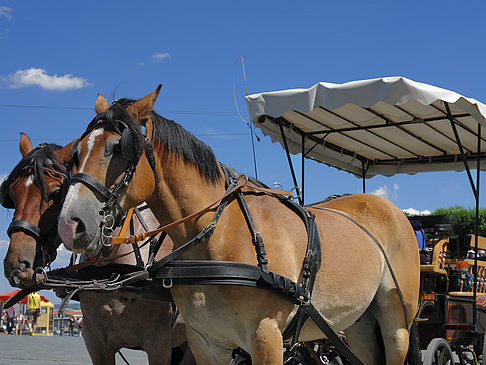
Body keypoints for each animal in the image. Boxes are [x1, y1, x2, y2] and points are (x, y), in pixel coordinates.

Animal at [58, 86, 422, 362]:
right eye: (74, 153)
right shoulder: (205, 342)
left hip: (397, 323)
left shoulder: (266, 338)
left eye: (118, 148)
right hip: (357, 323)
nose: (70, 225)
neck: (216, 238)